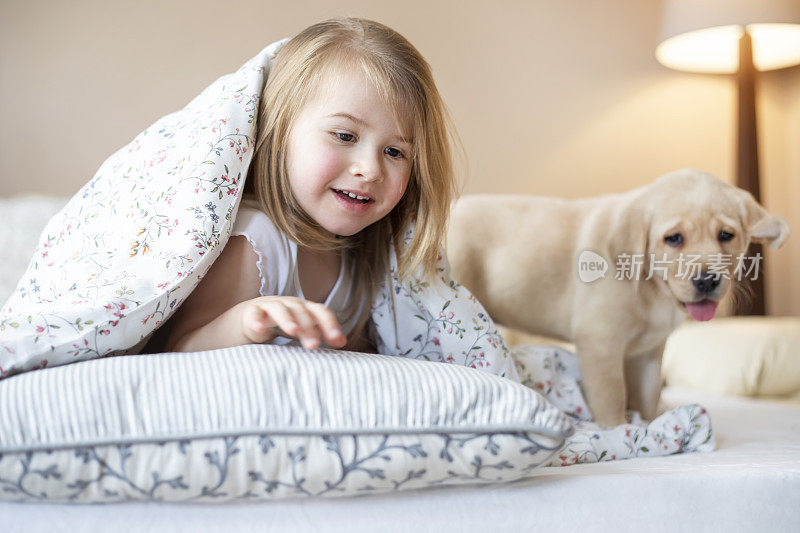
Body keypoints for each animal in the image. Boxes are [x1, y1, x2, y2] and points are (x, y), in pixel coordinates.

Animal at [446, 168, 792, 426]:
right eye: (674, 239)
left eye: (726, 235)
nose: (707, 280)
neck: (652, 289)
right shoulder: (599, 343)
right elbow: (612, 396)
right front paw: (619, 431)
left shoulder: (649, 350)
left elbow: (648, 393)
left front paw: (652, 422)